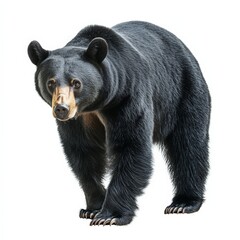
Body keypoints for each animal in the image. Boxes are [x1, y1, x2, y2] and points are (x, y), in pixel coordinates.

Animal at [27, 20, 210, 225]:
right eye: (51, 83)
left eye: (76, 83)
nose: (62, 109)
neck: (95, 106)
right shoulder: (78, 121)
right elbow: (83, 154)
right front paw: (93, 208)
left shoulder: (127, 98)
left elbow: (130, 146)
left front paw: (109, 216)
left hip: (183, 93)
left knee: (188, 145)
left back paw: (183, 203)